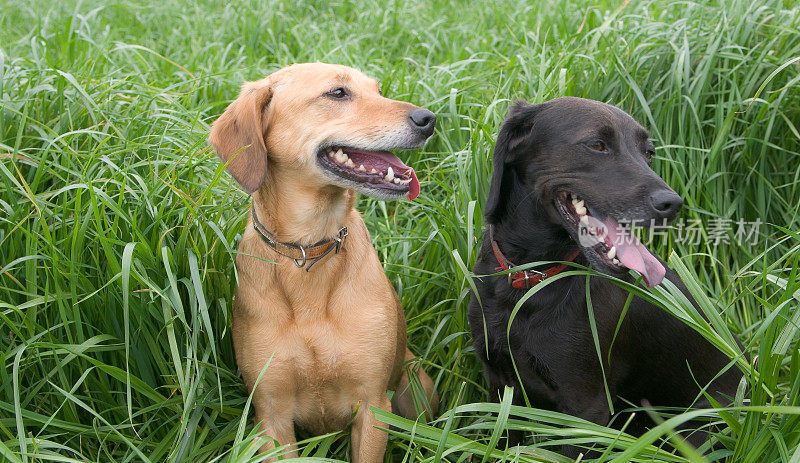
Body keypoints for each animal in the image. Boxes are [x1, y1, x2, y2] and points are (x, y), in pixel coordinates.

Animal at [208, 62, 438, 463]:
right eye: (337, 93)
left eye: (379, 91)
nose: (428, 119)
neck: (310, 249)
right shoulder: (271, 416)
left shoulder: (373, 408)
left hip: (416, 391)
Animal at [468, 96, 744, 454]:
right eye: (596, 145)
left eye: (648, 153)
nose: (672, 204)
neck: (528, 281)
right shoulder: (500, 388)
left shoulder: (586, 411)